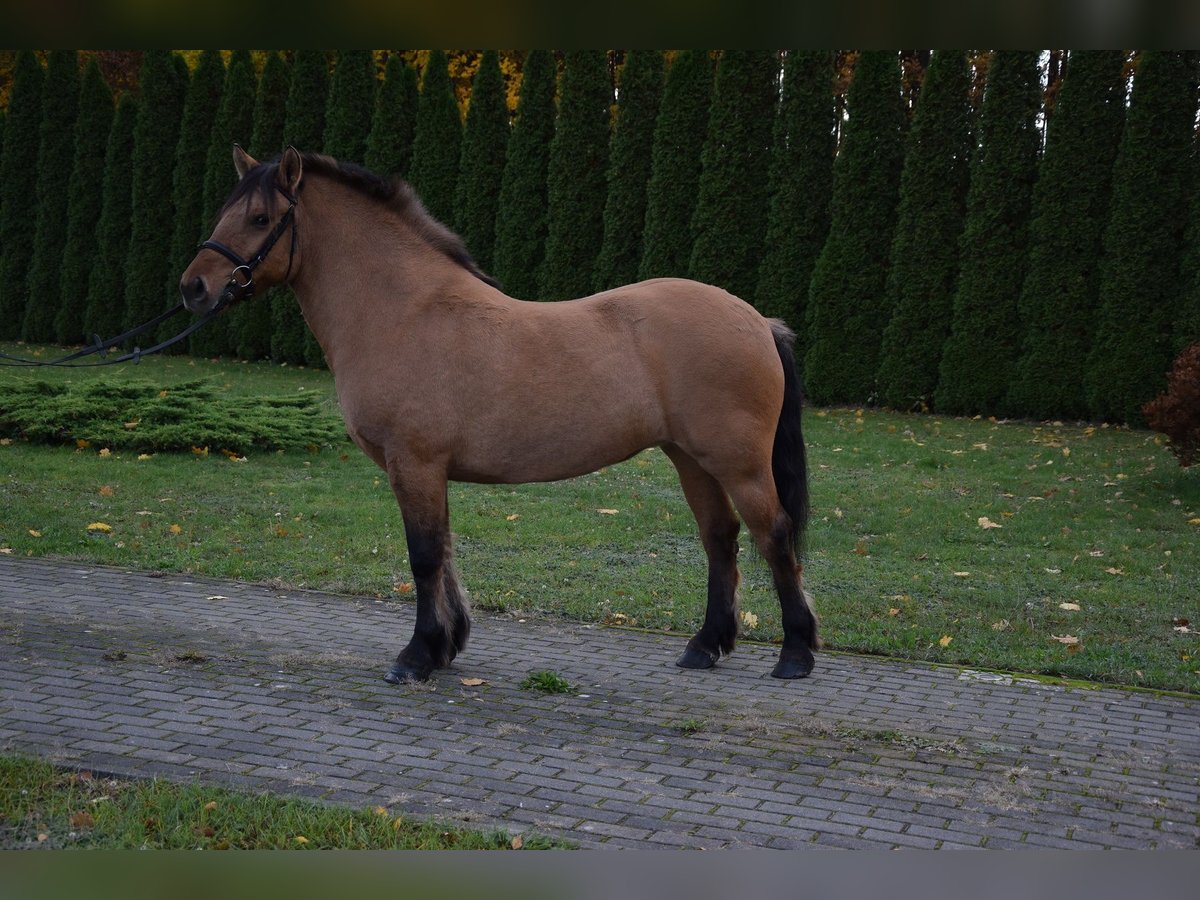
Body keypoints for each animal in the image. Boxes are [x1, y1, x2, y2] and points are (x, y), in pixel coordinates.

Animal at [180, 145, 820, 684]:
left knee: (773, 534)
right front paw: (446, 645)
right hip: (691, 459)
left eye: (260, 218)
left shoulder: (415, 462)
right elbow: (443, 550)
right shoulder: (426, 471)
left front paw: (417, 656)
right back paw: (705, 646)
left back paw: (795, 653)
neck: (403, 311)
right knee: (721, 538)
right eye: (225, 211)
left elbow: (424, 555)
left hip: (738, 464)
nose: (194, 288)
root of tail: (757, 320)